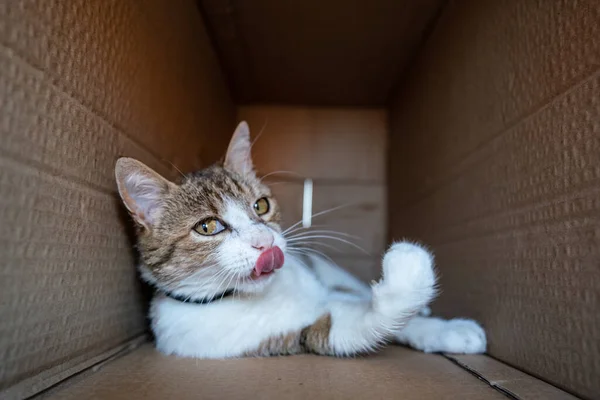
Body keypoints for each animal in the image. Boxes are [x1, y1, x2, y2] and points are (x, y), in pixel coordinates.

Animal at [115, 122, 486, 360]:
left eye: (261, 206)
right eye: (207, 227)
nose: (265, 241)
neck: (259, 296)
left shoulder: (326, 291)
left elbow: (381, 312)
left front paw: (442, 328)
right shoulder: (297, 335)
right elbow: (366, 323)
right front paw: (408, 272)